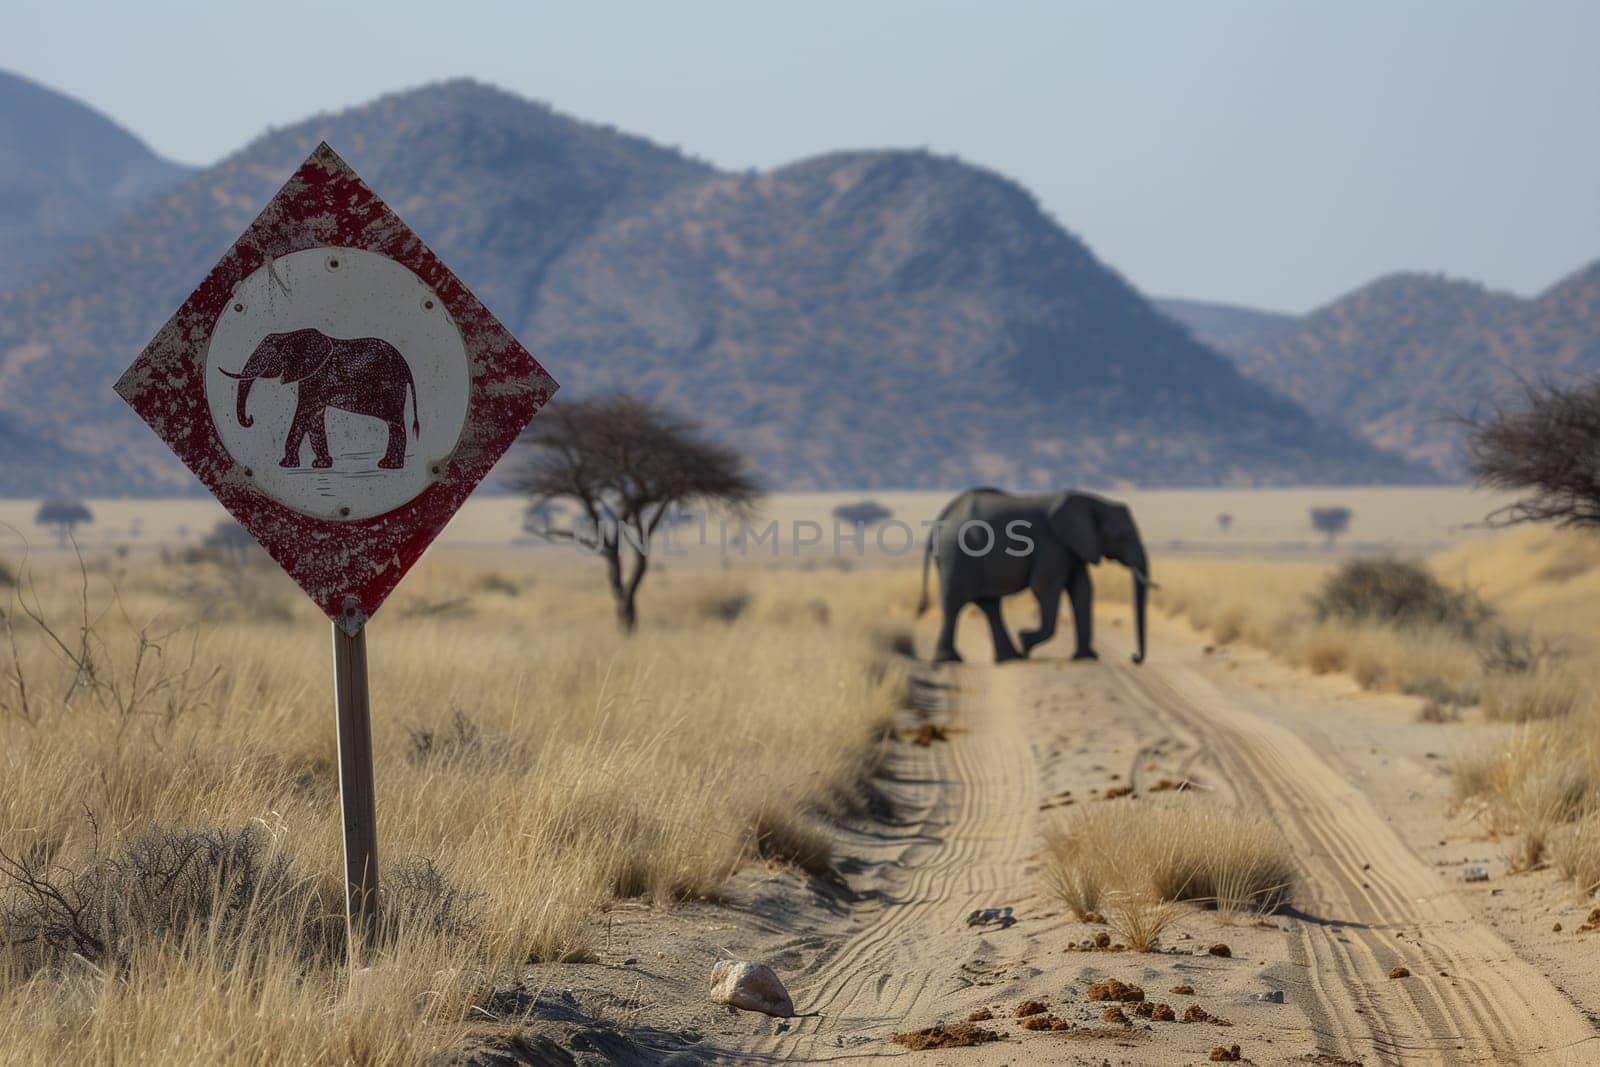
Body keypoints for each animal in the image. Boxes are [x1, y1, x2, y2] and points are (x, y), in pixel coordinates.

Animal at [220, 327, 419, 470]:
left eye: (270, 356)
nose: (250, 419)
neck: (293, 334)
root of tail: (406, 366)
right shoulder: (311, 378)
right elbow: (314, 417)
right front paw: (321, 465)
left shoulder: (317, 377)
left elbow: (303, 412)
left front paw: (286, 464)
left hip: (391, 385)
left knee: (394, 421)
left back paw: (389, 466)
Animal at [915, 489, 1152, 662]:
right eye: (1122, 536)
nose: (1134, 657)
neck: (1095, 502)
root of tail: (942, 519)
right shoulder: (1052, 543)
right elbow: (1044, 586)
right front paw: (1026, 640)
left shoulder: (1072, 546)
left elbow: (1082, 589)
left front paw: (1087, 657)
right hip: (958, 554)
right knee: (955, 602)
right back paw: (950, 660)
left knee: (989, 605)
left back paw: (1009, 658)